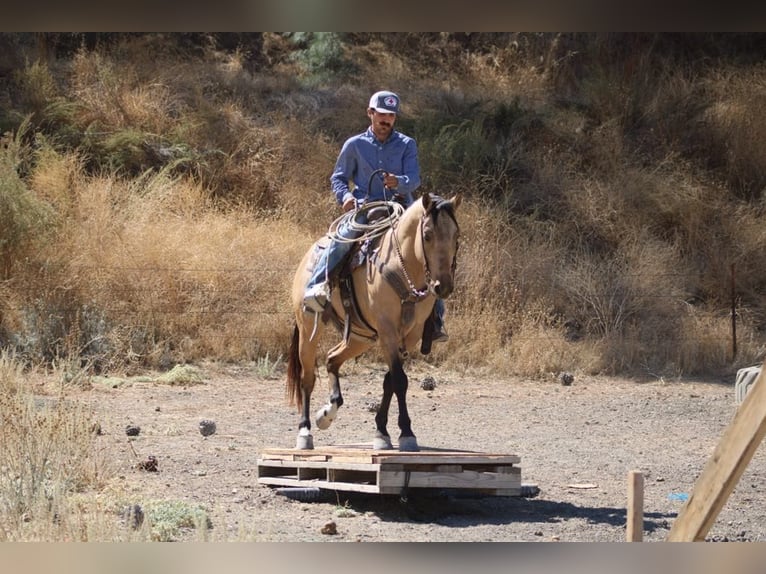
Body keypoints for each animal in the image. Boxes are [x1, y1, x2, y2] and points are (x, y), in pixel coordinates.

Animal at [286, 191, 461, 452]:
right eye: (427, 235)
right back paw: (305, 431)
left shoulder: (410, 335)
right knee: (307, 377)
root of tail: (308, 256)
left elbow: (391, 381)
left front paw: (382, 432)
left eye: (456, 236)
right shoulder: (387, 330)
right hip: (308, 328)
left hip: (360, 337)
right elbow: (399, 380)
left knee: (332, 359)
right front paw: (406, 433)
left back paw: (327, 413)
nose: (443, 286)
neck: (402, 266)